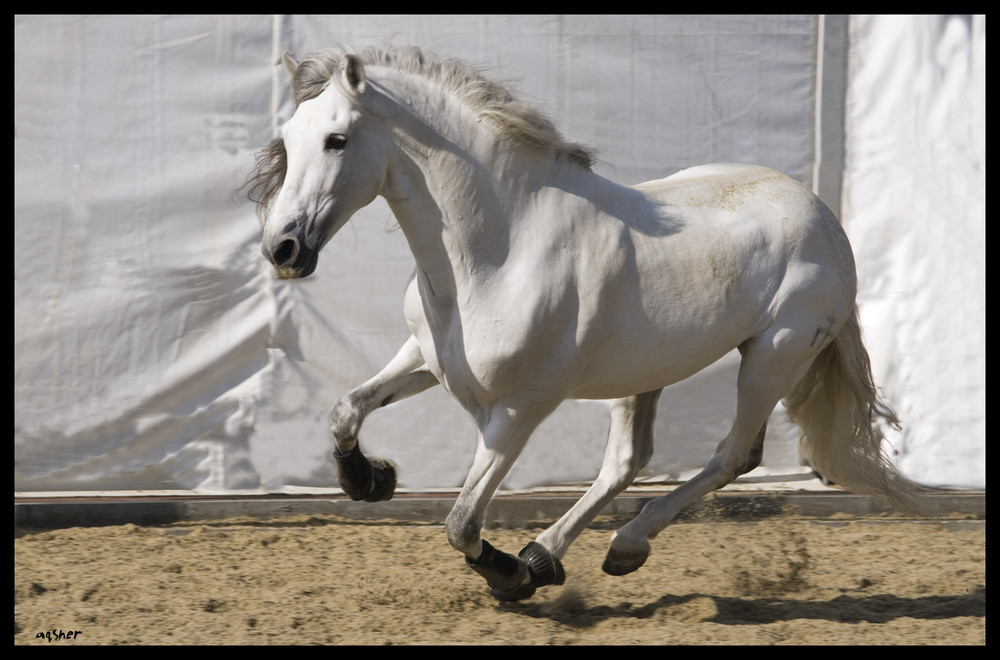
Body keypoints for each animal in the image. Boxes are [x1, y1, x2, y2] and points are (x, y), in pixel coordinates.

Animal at [248, 47, 920, 604]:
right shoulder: (426, 358)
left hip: (772, 358)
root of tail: (825, 218)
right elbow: (346, 408)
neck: (500, 249)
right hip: (646, 372)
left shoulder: (519, 409)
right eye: (289, 136)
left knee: (733, 455)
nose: (282, 249)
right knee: (629, 459)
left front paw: (507, 577)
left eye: (336, 139)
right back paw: (551, 555)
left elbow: (461, 521)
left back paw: (614, 548)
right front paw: (369, 480)